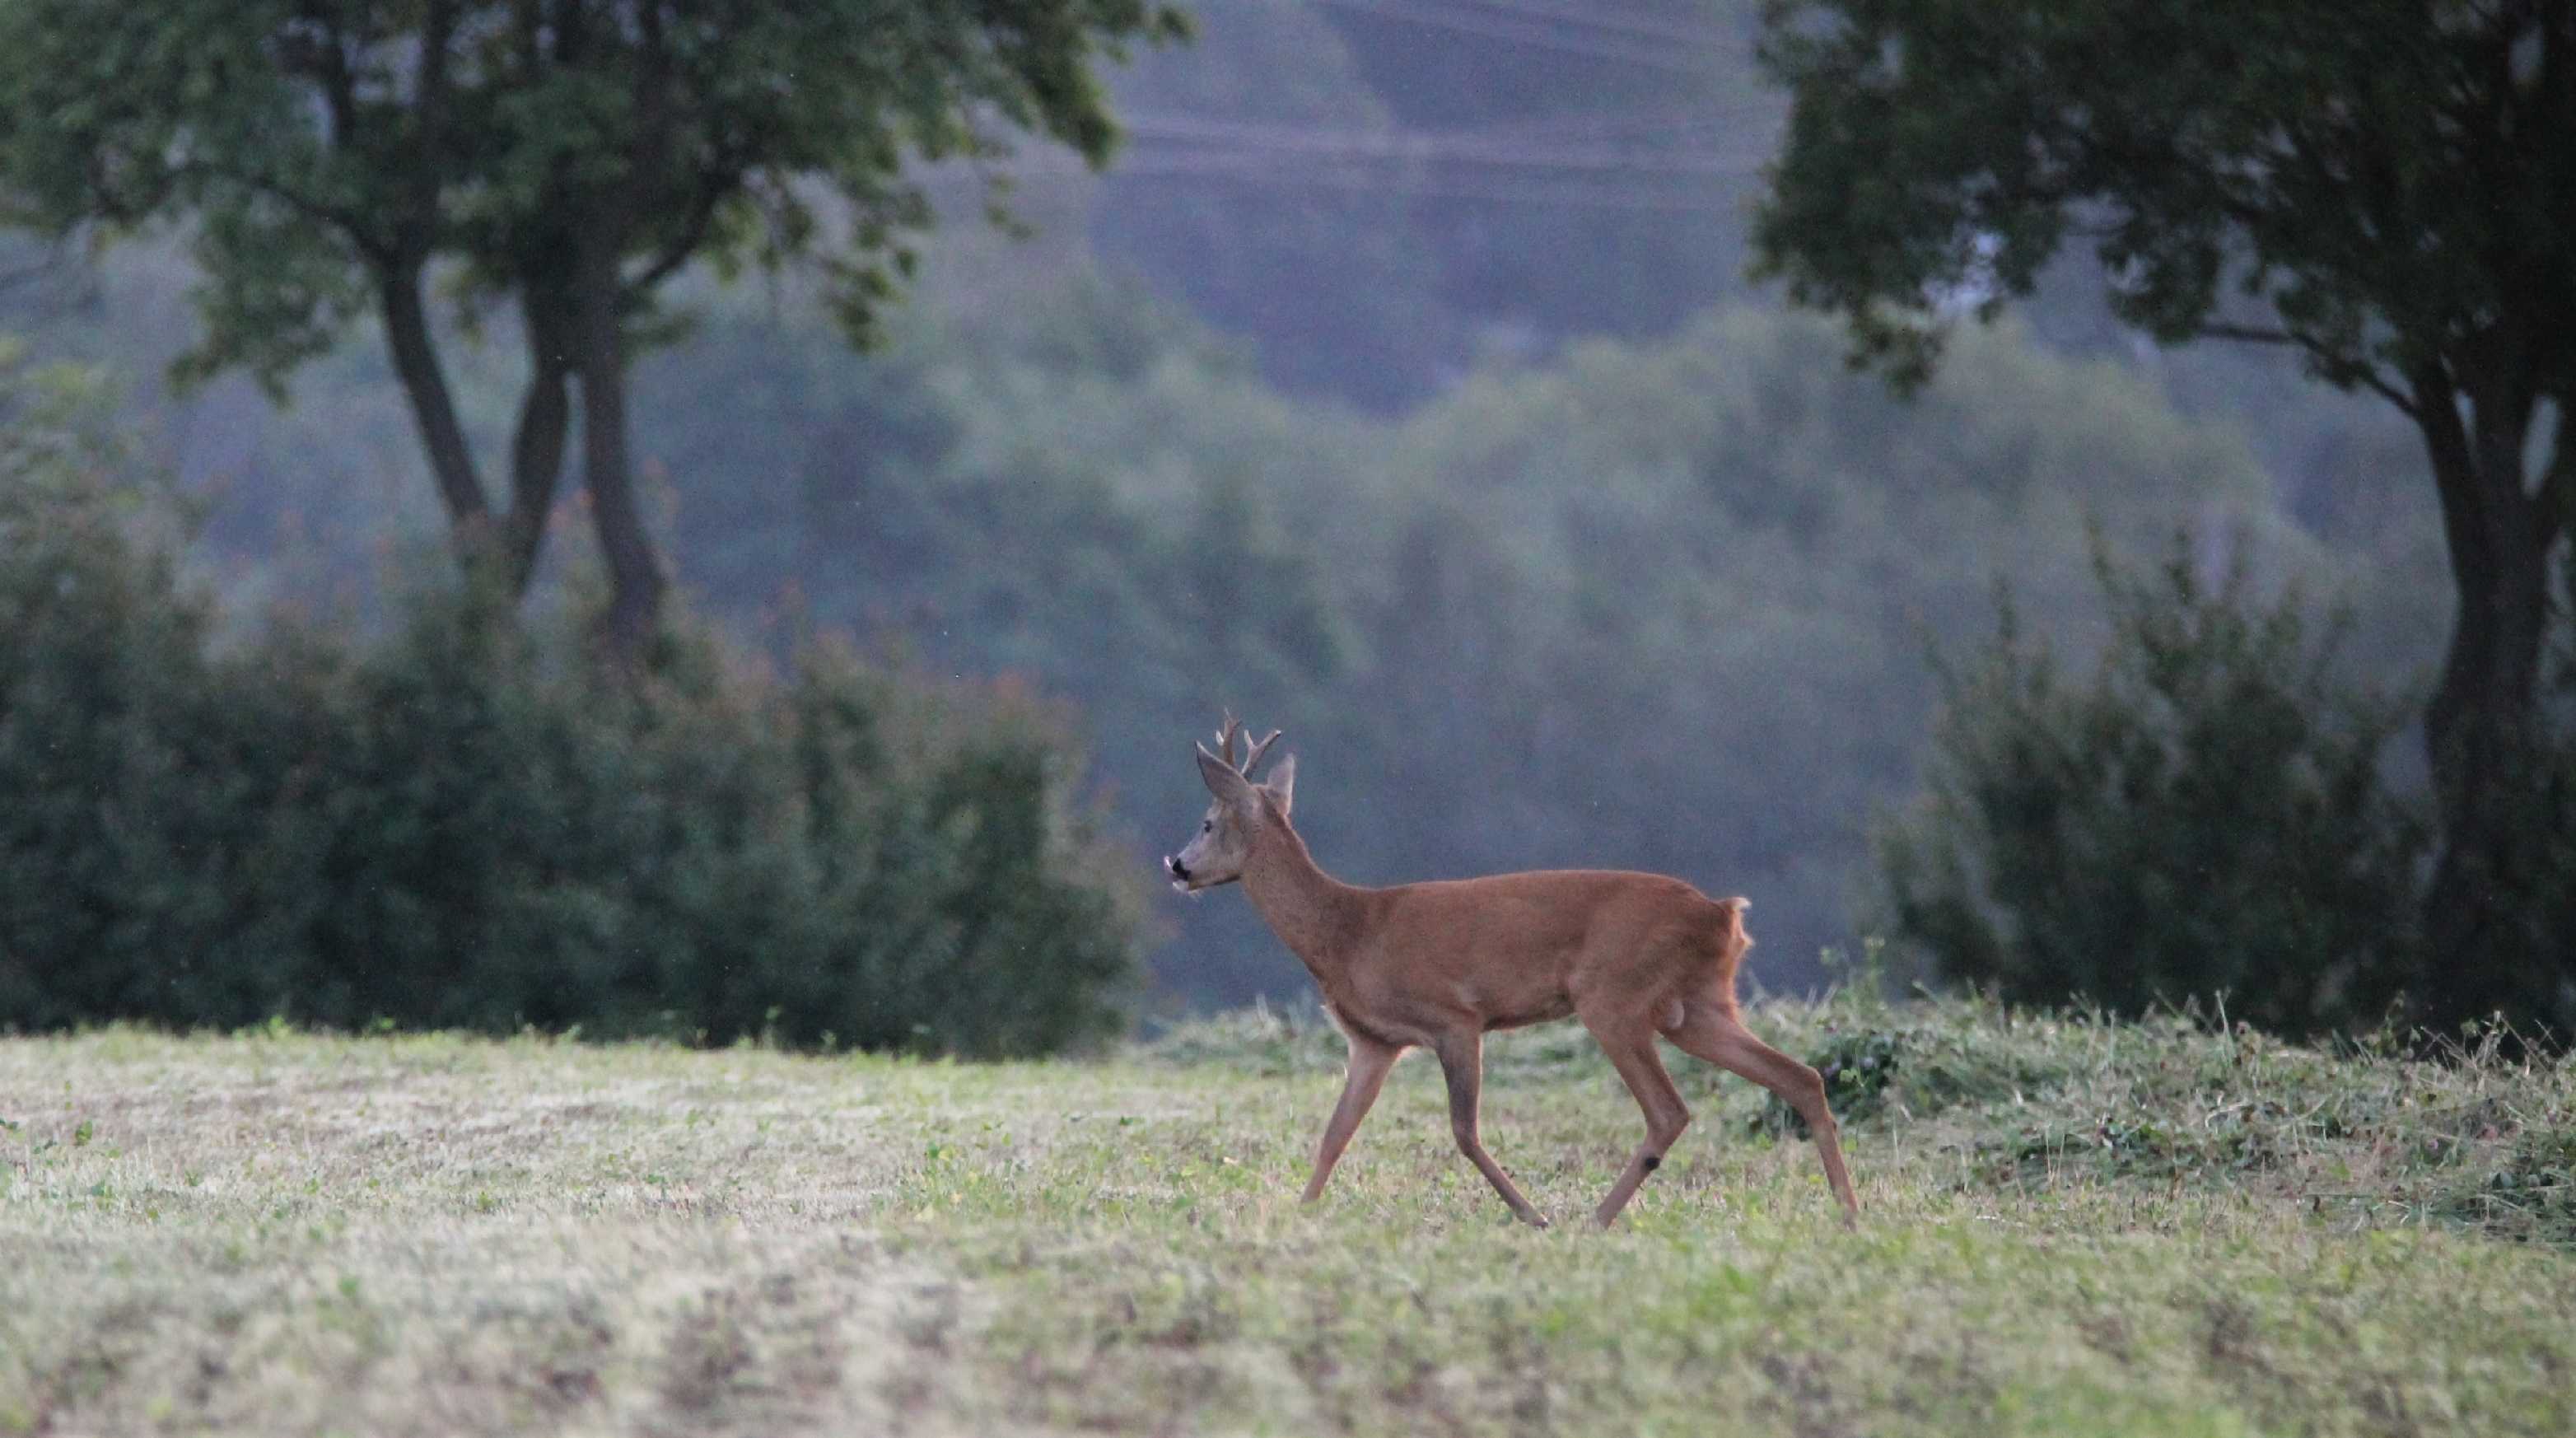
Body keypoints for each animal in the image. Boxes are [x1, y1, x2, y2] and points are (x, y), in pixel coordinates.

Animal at [1164, 716, 1855, 1236]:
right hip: (1700, 1006)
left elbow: (1464, 1132)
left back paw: (1593, 1220)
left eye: (1206, 822)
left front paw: (1532, 1214)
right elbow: (1335, 1135)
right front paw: (1299, 1213)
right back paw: (1848, 1212)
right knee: (1801, 1076)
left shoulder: (1455, 1018)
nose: (1177, 866)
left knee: (1670, 1110)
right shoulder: (1374, 1041)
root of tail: (1723, 913)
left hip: (1614, 997)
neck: (1348, 932)